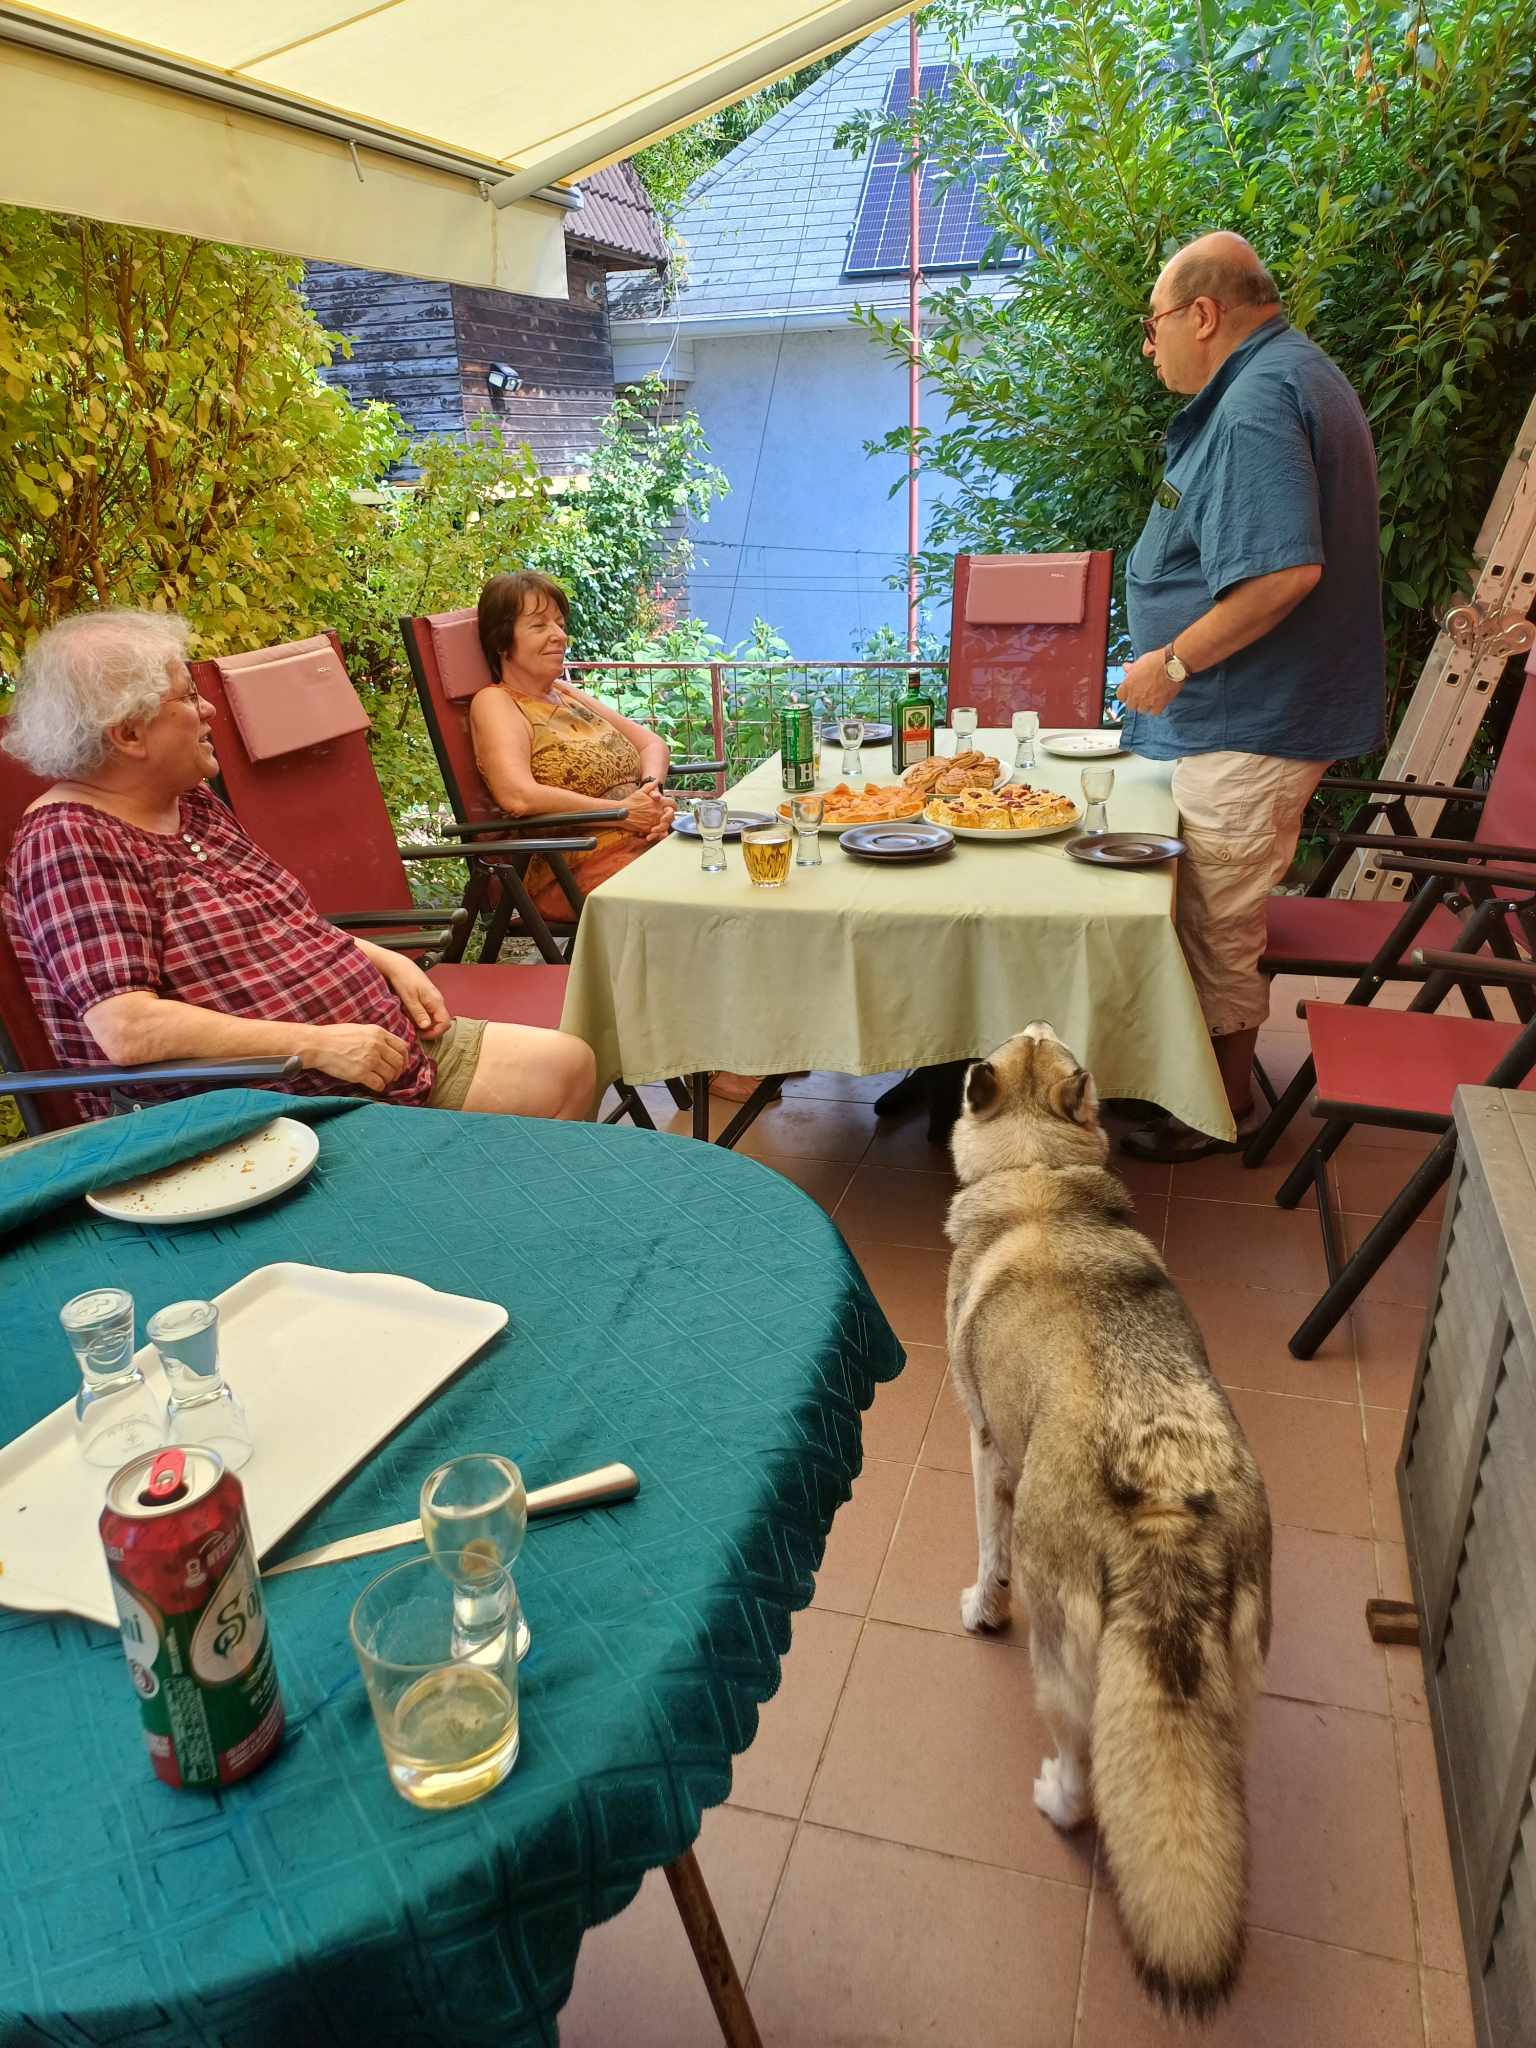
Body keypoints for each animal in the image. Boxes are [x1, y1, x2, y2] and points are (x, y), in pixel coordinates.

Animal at [946, 1025, 1273, 2018]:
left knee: (1085, 1770)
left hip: (1060, 1670)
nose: (1042, 1023)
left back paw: (1056, 1798)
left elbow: (987, 1551)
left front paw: (981, 1607)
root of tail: (1164, 1508)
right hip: (1236, 1677)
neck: (1037, 1173)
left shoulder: (983, 1443)